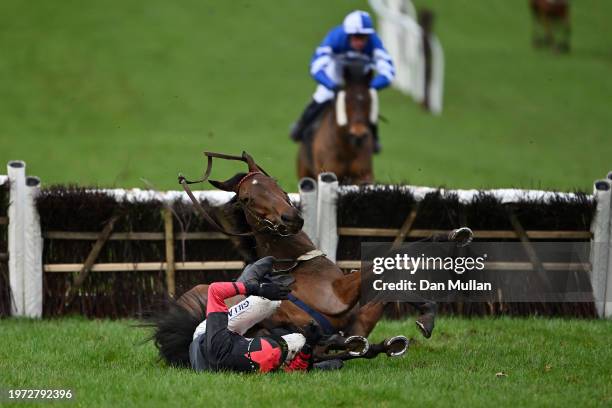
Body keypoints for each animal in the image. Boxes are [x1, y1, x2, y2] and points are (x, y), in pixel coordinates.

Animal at [148, 152, 436, 366]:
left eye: (274, 183)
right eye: (247, 198)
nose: (291, 218)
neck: (299, 261)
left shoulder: (359, 319)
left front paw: (424, 314)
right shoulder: (337, 296)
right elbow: (382, 264)